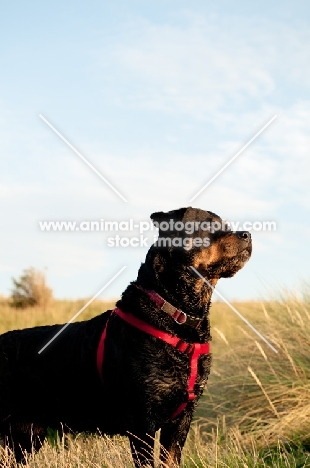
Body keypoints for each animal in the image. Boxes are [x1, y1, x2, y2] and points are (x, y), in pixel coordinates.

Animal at [0, 209, 251, 468]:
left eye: (226, 225)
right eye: (208, 225)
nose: (247, 234)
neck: (177, 315)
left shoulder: (181, 419)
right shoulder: (142, 421)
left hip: (25, 436)